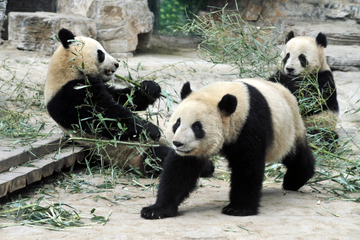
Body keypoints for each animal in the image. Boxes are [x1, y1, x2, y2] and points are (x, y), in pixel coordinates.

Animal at [141, 79, 316, 218]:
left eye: (197, 127)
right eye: (177, 123)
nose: (178, 143)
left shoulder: (249, 125)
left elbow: (247, 167)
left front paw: (238, 209)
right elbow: (180, 170)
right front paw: (156, 210)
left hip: (288, 129)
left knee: (296, 155)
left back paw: (294, 180)